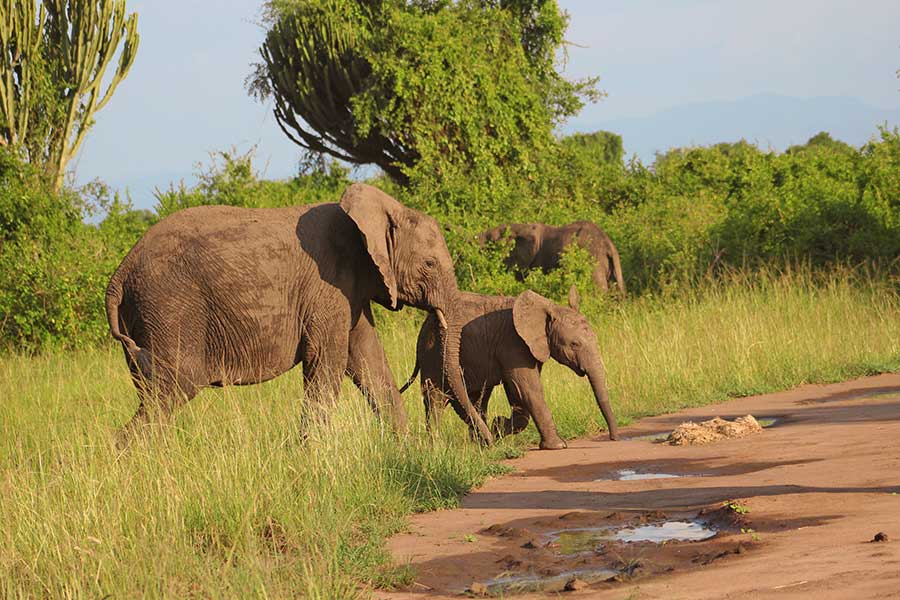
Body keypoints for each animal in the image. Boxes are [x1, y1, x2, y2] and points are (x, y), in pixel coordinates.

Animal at [105, 183, 493, 445]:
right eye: (429, 265)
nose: (487, 443)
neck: (384, 209)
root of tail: (120, 274)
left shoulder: (350, 290)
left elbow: (367, 358)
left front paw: (408, 452)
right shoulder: (328, 284)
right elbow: (327, 361)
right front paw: (312, 458)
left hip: (144, 317)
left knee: (155, 392)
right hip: (169, 306)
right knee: (173, 387)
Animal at [399, 285, 618, 449]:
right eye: (574, 344)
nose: (613, 439)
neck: (547, 307)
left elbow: (519, 395)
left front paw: (497, 427)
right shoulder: (513, 343)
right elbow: (527, 388)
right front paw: (558, 446)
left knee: (477, 398)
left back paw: (480, 442)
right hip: (432, 354)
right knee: (435, 398)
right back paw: (437, 446)